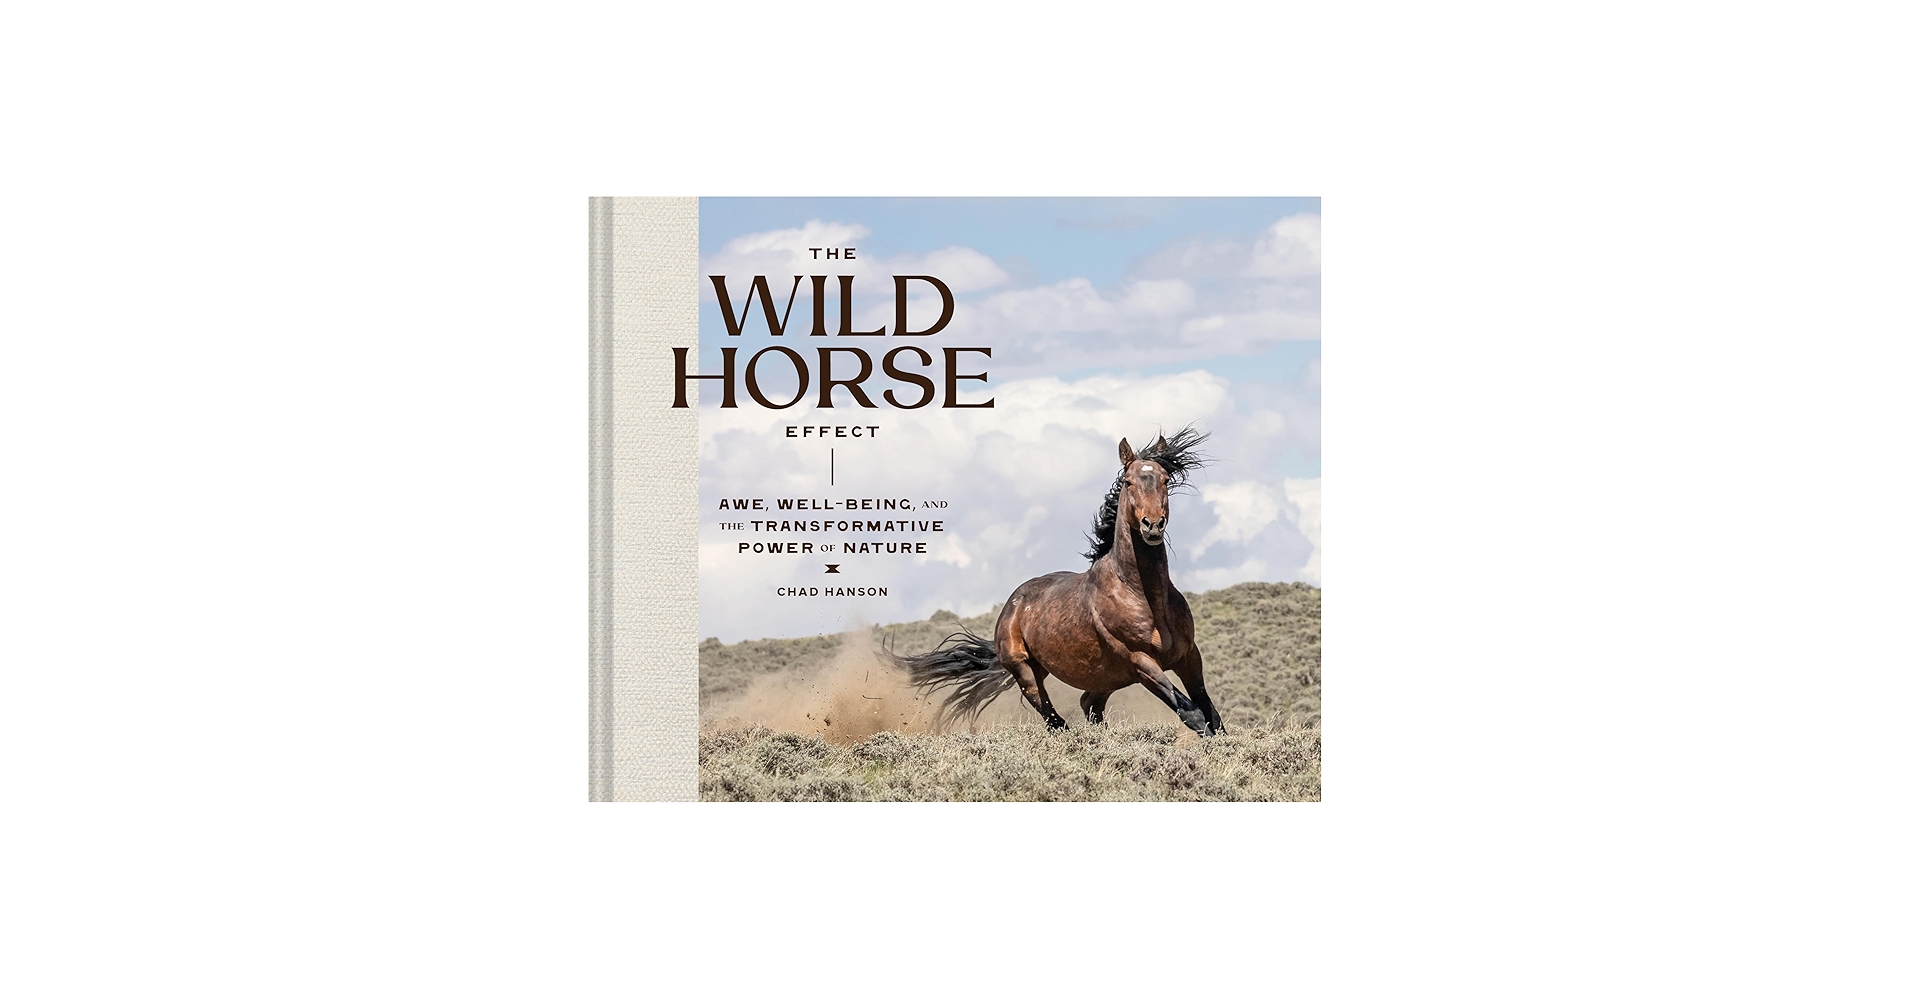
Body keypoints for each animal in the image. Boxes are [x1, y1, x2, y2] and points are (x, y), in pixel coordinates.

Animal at [888, 427, 1224, 737]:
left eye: (1165, 479)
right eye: (1129, 482)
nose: (1152, 525)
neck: (1143, 595)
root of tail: (1012, 605)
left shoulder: (1188, 656)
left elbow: (1212, 715)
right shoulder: (1142, 662)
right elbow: (1193, 714)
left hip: (1107, 676)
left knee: (1088, 705)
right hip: (1026, 671)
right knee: (1054, 718)